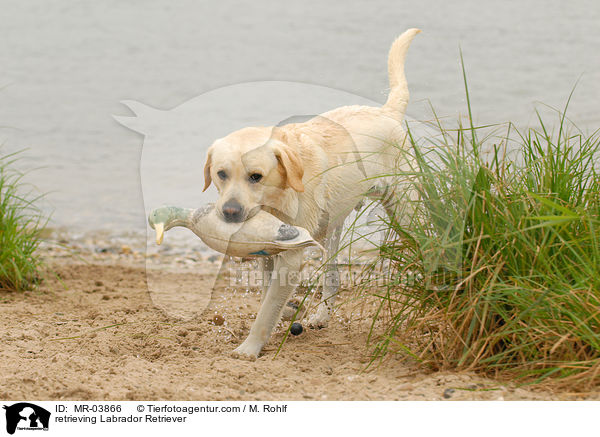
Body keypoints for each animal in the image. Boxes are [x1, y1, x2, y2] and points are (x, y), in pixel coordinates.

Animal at [204, 27, 420, 358]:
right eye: (221, 174)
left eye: (256, 177)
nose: (230, 212)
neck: (279, 197)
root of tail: (387, 112)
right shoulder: (268, 250)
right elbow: (268, 292)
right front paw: (287, 311)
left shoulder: (291, 257)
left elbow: (266, 310)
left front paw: (249, 348)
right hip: (331, 227)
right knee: (333, 278)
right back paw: (321, 315)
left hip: (404, 210)